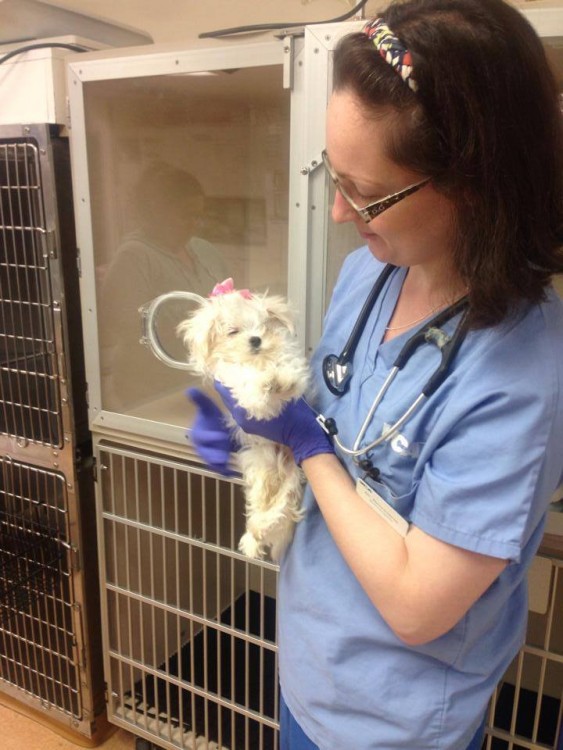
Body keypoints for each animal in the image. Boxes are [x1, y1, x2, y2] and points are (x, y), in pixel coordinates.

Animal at [178, 280, 310, 560]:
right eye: (233, 331)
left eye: (263, 325)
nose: (256, 339)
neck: (257, 361)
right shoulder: (233, 378)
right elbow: (248, 384)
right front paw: (263, 388)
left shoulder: (290, 365)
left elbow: (287, 373)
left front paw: (279, 380)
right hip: (261, 469)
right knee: (262, 504)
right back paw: (252, 538)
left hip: (291, 476)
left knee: (280, 506)